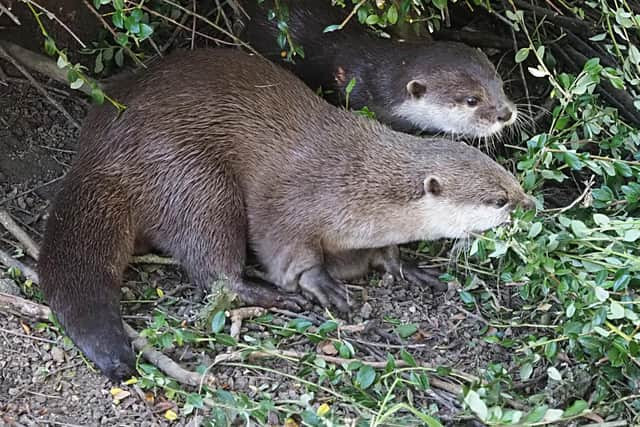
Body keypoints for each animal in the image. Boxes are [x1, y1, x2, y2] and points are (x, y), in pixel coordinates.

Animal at [37, 46, 532, 382]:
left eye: (511, 183)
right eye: (498, 200)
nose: (528, 205)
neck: (357, 182)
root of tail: (99, 154)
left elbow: (380, 252)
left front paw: (403, 266)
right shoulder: (295, 200)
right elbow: (285, 248)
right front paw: (321, 286)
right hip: (192, 179)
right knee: (212, 268)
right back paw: (272, 297)